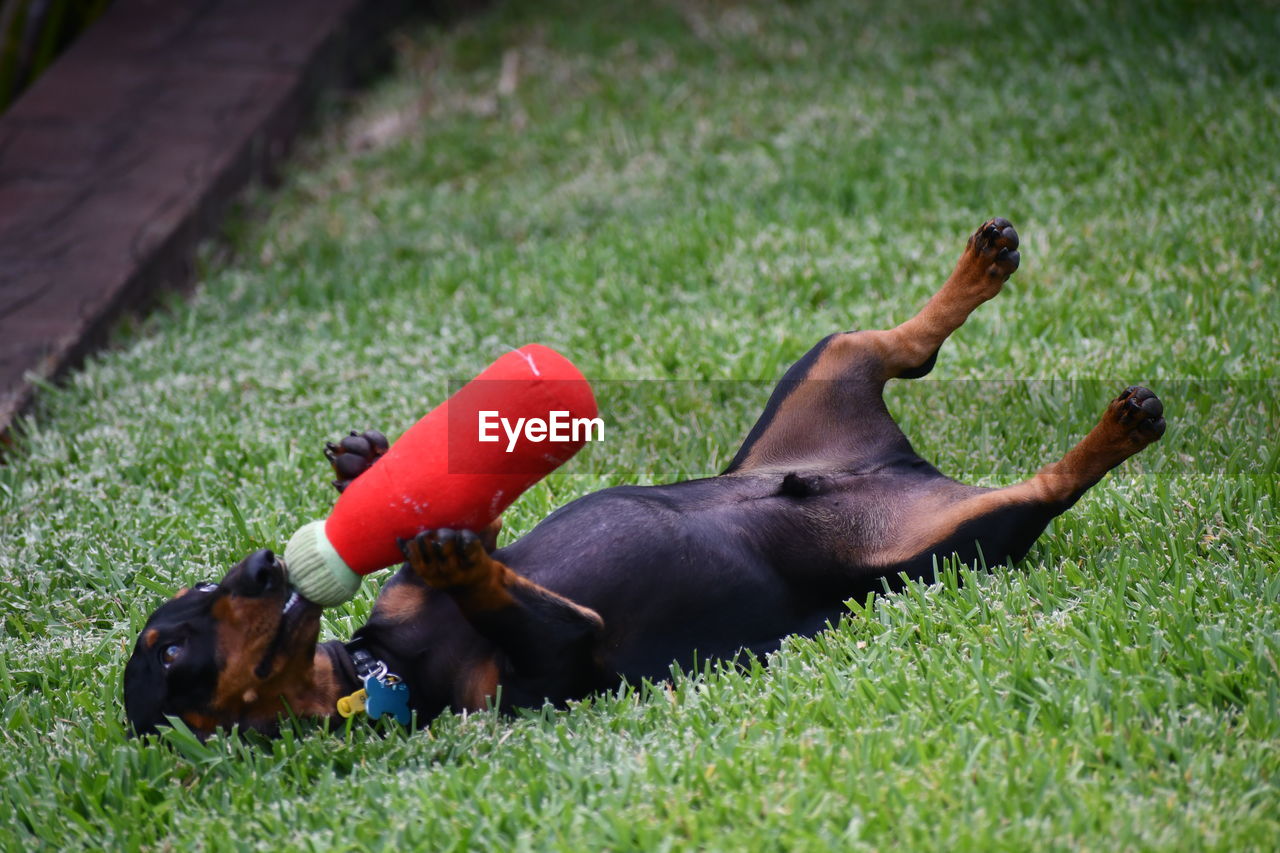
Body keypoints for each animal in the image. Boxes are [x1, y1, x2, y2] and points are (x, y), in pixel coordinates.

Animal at [124, 220, 1167, 737]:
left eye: (200, 591)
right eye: (166, 654)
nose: (262, 565)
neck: (383, 667)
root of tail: (903, 465)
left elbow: (462, 531)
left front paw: (369, 466)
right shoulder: (557, 659)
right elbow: (498, 585)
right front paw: (454, 556)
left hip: (821, 376)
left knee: (899, 345)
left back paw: (983, 264)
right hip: (954, 540)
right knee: (1043, 486)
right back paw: (1118, 427)